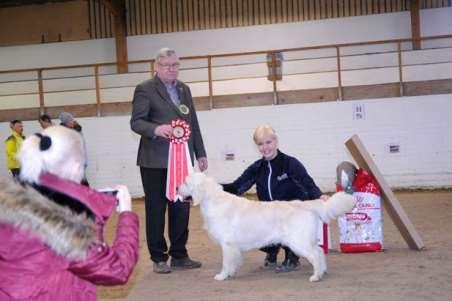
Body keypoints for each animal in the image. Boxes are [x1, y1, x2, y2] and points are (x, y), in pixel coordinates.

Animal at [177, 171, 356, 282]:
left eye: (185, 182)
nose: (177, 187)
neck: (214, 201)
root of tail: (304, 203)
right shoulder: (233, 246)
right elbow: (233, 261)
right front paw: (231, 273)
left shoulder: (227, 244)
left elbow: (226, 262)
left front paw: (222, 275)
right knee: (319, 251)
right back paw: (323, 271)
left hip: (298, 242)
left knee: (315, 255)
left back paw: (316, 276)